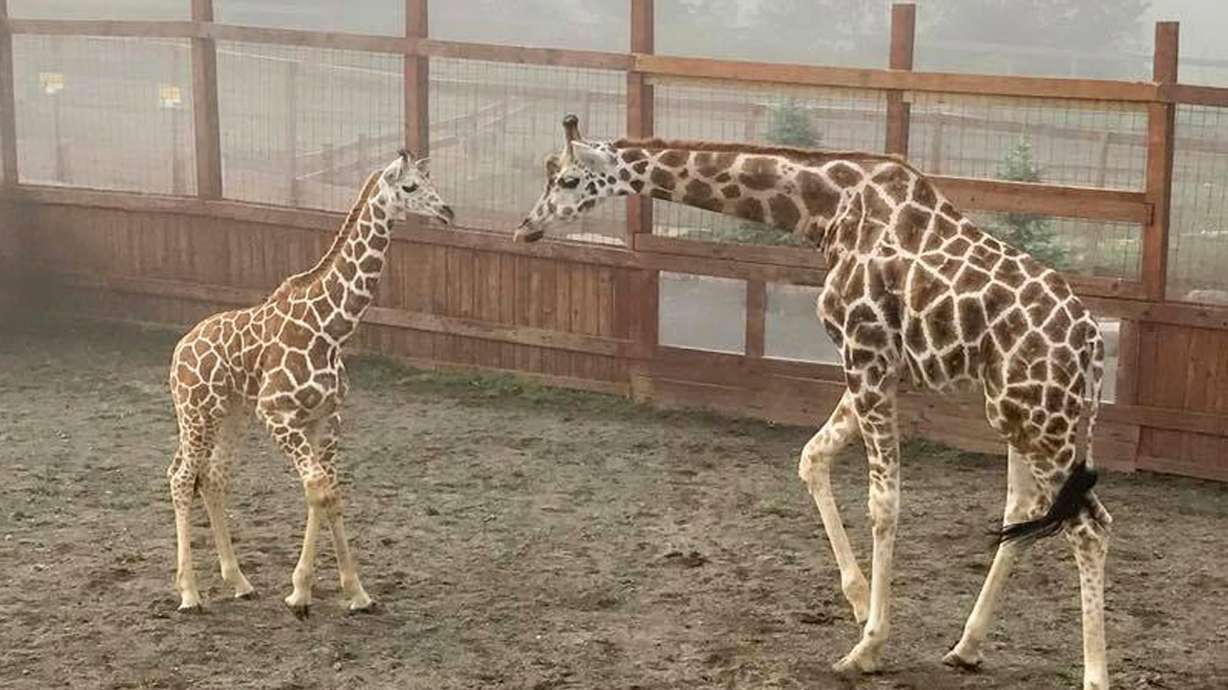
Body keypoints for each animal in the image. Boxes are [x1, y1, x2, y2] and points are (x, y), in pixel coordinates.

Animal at [167, 150, 453, 617]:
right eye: (410, 186)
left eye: (433, 182)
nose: (447, 211)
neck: (331, 332)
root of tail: (179, 350)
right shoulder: (277, 414)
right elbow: (319, 489)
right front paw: (304, 593)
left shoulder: (326, 417)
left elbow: (326, 492)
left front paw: (350, 592)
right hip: (196, 411)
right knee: (180, 476)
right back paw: (190, 593)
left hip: (232, 414)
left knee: (212, 477)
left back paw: (239, 581)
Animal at [515, 116, 1112, 690]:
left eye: (567, 181)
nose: (526, 228)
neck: (828, 213)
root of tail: (1092, 344)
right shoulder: (879, 368)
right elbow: (811, 457)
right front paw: (858, 602)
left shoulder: (866, 355)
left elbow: (883, 502)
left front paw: (867, 649)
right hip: (1016, 413)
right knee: (1024, 511)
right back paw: (966, 647)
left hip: (1043, 420)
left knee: (1091, 526)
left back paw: (1094, 674)